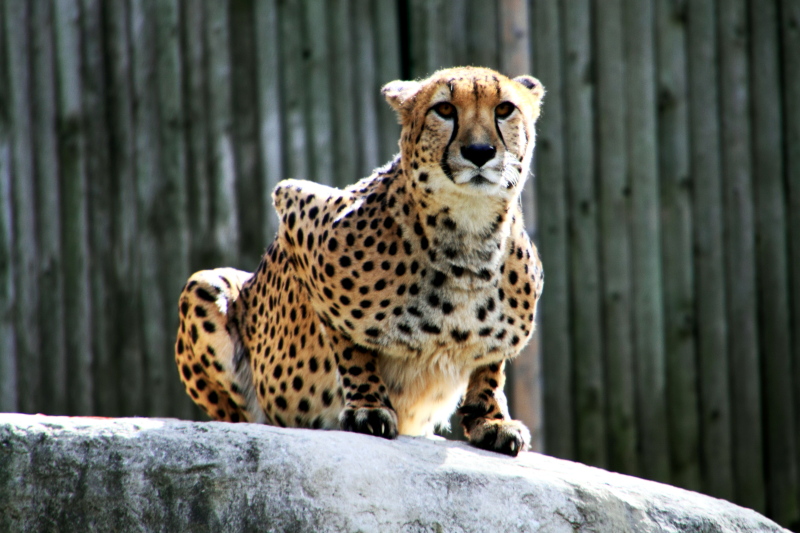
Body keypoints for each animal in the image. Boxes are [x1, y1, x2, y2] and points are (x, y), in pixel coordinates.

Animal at [177, 65, 544, 458]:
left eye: (504, 109)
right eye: (444, 110)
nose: (479, 151)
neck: (469, 235)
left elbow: (490, 364)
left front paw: (490, 419)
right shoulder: (297, 211)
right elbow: (349, 341)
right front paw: (369, 406)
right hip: (204, 285)